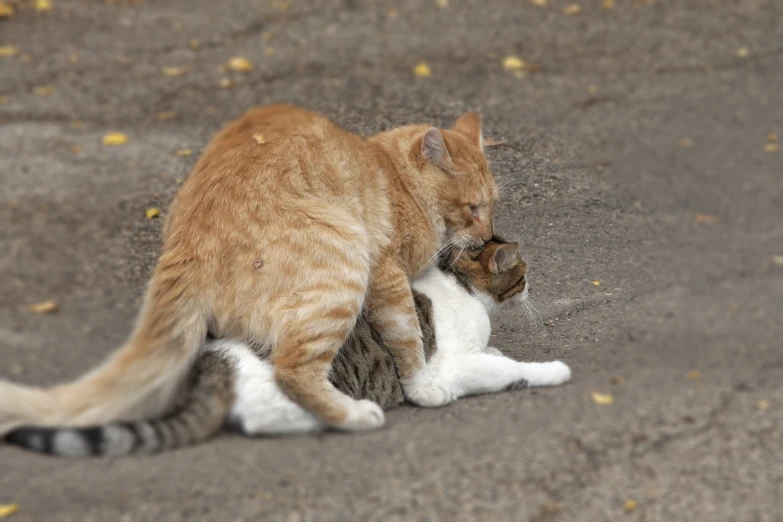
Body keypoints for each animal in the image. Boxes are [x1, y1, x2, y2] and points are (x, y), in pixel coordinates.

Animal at [0, 104, 496, 430]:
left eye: (493, 205)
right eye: (473, 208)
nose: (491, 235)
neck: (393, 177)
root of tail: (184, 248)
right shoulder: (387, 276)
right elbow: (408, 337)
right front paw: (424, 387)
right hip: (344, 268)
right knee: (292, 372)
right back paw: (353, 415)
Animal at [6, 238, 568, 452]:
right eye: (523, 274)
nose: (533, 283)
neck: (462, 286)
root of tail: (214, 358)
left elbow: (494, 356)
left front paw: (499, 352)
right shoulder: (450, 365)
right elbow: (508, 368)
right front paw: (550, 370)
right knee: (264, 418)